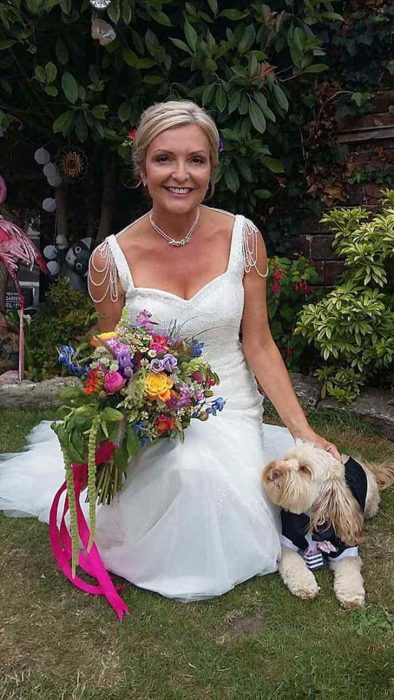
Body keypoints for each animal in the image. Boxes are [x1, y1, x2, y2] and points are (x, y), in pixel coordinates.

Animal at [262, 440, 394, 608]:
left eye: (305, 469)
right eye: (286, 459)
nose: (275, 470)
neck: (312, 515)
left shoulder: (346, 547)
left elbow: (350, 571)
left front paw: (351, 595)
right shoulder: (288, 542)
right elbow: (294, 565)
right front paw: (304, 585)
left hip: (370, 504)